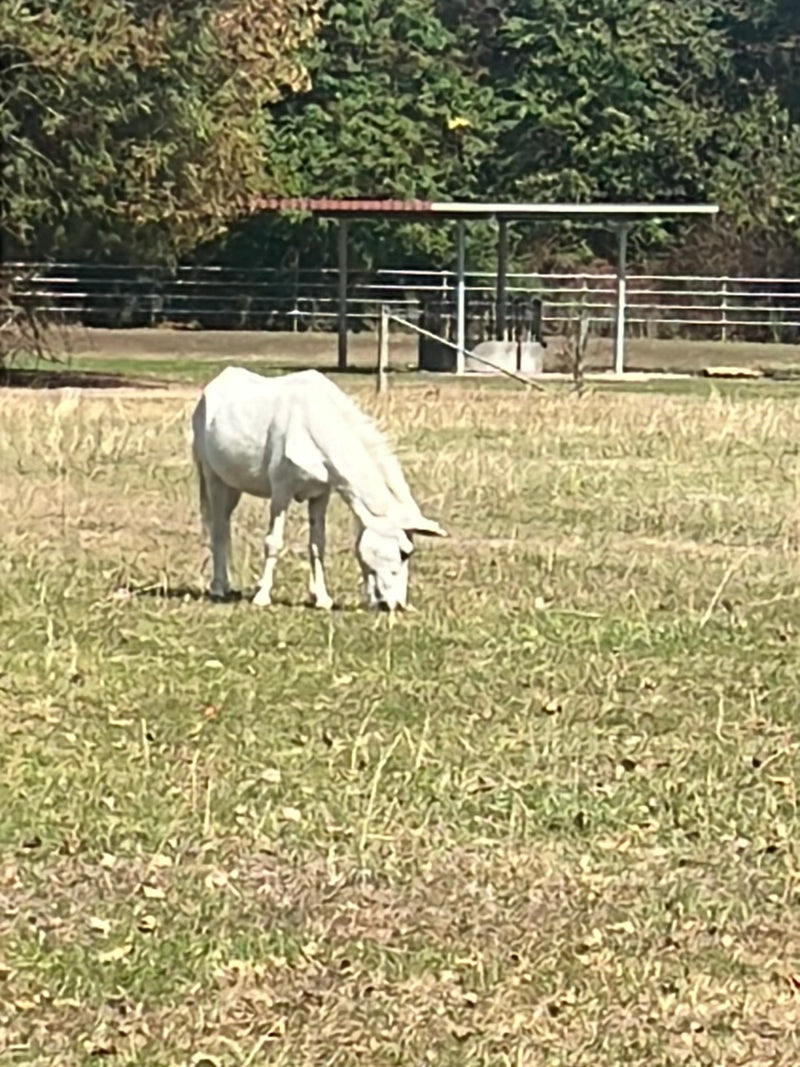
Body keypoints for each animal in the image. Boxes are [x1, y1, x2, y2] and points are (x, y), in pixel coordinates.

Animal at [191, 366, 447, 611]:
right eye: (404, 552)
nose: (396, 605)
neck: (312, 423)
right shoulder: (281, 493)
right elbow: (274, 541)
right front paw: (262, 596)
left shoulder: (321, 494)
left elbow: (317, 544)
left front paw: (322, 599)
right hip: (213, 479)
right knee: (218, 528)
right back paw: (218, 588)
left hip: (233, 485)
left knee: (224, 525)